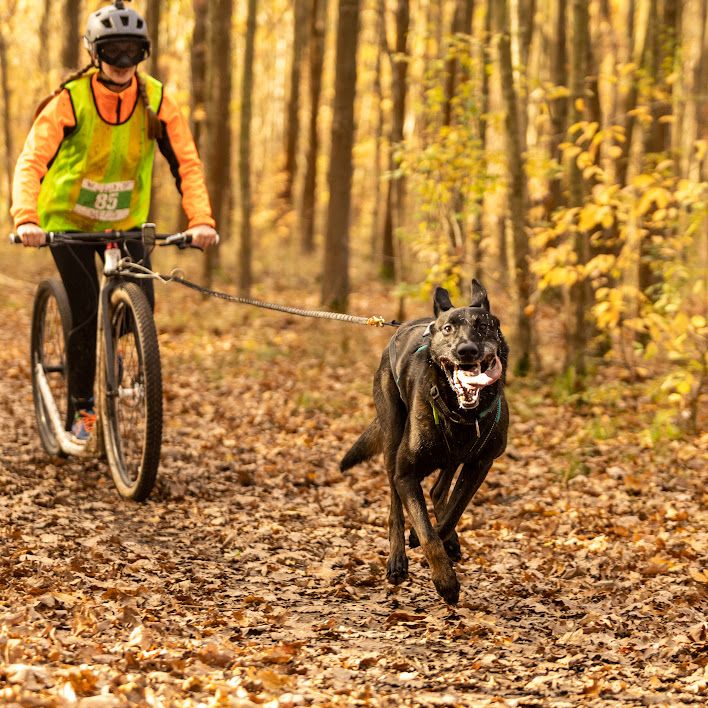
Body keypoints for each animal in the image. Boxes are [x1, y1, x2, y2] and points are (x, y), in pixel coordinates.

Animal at [340, 280, 506, 604]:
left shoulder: (480, 464)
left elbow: (453, 512)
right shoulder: (406, 473)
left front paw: (441, 539)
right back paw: (397, 561)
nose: (466, 351)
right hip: (393, 437)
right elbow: (428, 533)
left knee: (438, 490)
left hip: (450, 458)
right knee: (395, 503)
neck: (460, 413)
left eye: (483, 326)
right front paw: (445, 582)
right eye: (448, 329)